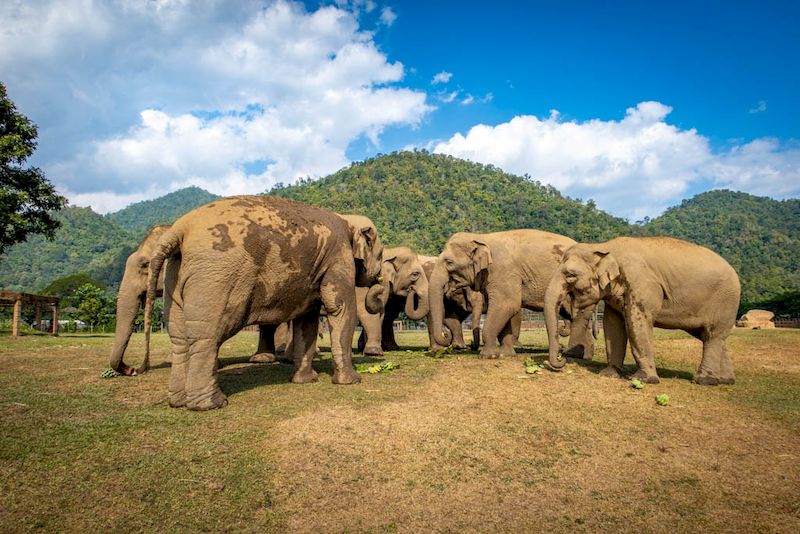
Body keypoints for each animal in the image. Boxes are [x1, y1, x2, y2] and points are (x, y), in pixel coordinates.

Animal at [142, 197, 386, 410]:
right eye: (381, 254)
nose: (379, 278)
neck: (346, 219)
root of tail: (179, 230)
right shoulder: (338, 257)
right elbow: (340, 307)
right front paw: (351, 381)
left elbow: (307, 319)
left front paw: (305, 380)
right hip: (216, 279)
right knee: (207, 337)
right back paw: (212, 404)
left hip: (176, 276)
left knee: (179, 338)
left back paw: (178, 402)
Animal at [432, 230, 592, 360]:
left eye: (449, 262)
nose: (445, 335)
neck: (481, 237)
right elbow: (507, 309)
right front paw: (505, 354)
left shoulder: (504, 272)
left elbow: (507, 305)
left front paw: (488, 356)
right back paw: (582, 355)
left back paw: (575, 355)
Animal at [544, 239, 736, 386]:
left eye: (570, 275)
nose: (563, 359)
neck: (604, 246)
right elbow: (612, 326)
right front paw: (608, 373)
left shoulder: (641, 283)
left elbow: (638, 323)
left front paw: (644, 379)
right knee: (713, 337)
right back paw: (725, 380)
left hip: (725, 301)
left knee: (712, 336)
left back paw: (703, 380)